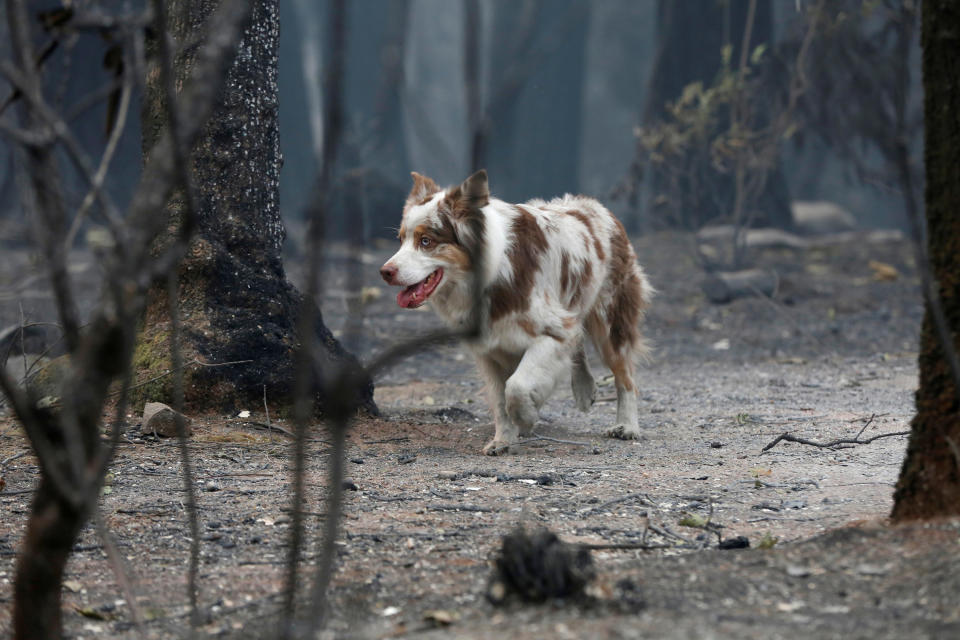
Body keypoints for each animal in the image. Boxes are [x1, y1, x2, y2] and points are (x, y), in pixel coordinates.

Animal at [382, 170, 652, 456]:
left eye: (426, 241)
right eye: (401, 240)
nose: (385, 272)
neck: (487, 279)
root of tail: (596, 205)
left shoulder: (552, 331)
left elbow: (517, 387)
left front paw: (526, 417)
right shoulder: (489, 350)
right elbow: (501, 400)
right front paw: (503, 440)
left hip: (611, 320)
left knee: (625, 376)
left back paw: (627, 426)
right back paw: (584, 389)